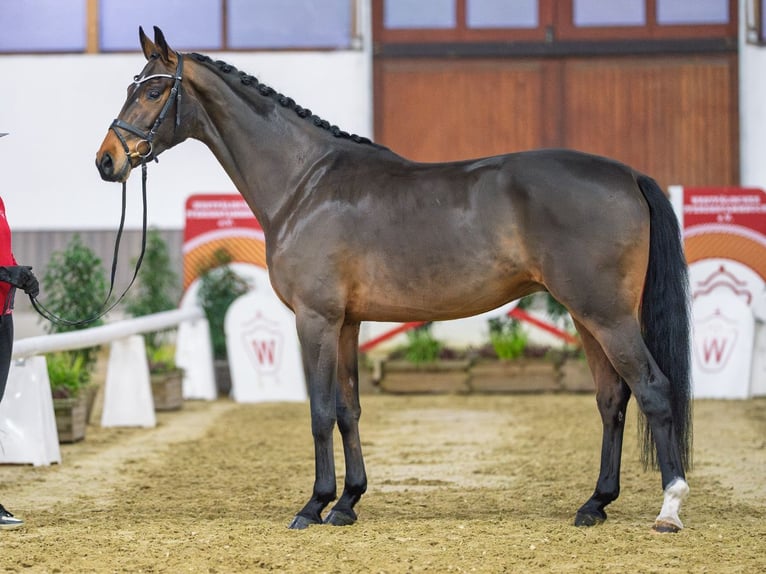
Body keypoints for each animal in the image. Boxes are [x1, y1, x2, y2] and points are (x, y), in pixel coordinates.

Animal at [96, 27, 692, 533]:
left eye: (154, 90)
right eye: (130, 87)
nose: (106, 161)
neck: (304, 183)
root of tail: (628, 175)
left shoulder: (316, 319)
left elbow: (318, 411)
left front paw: (313, 505)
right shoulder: (347, 323)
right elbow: (348, 409)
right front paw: (347, 503)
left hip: (606, 315)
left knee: (654, 389)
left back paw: (669, 507)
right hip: (589, 316)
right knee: (613, 399)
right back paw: (595, 504)